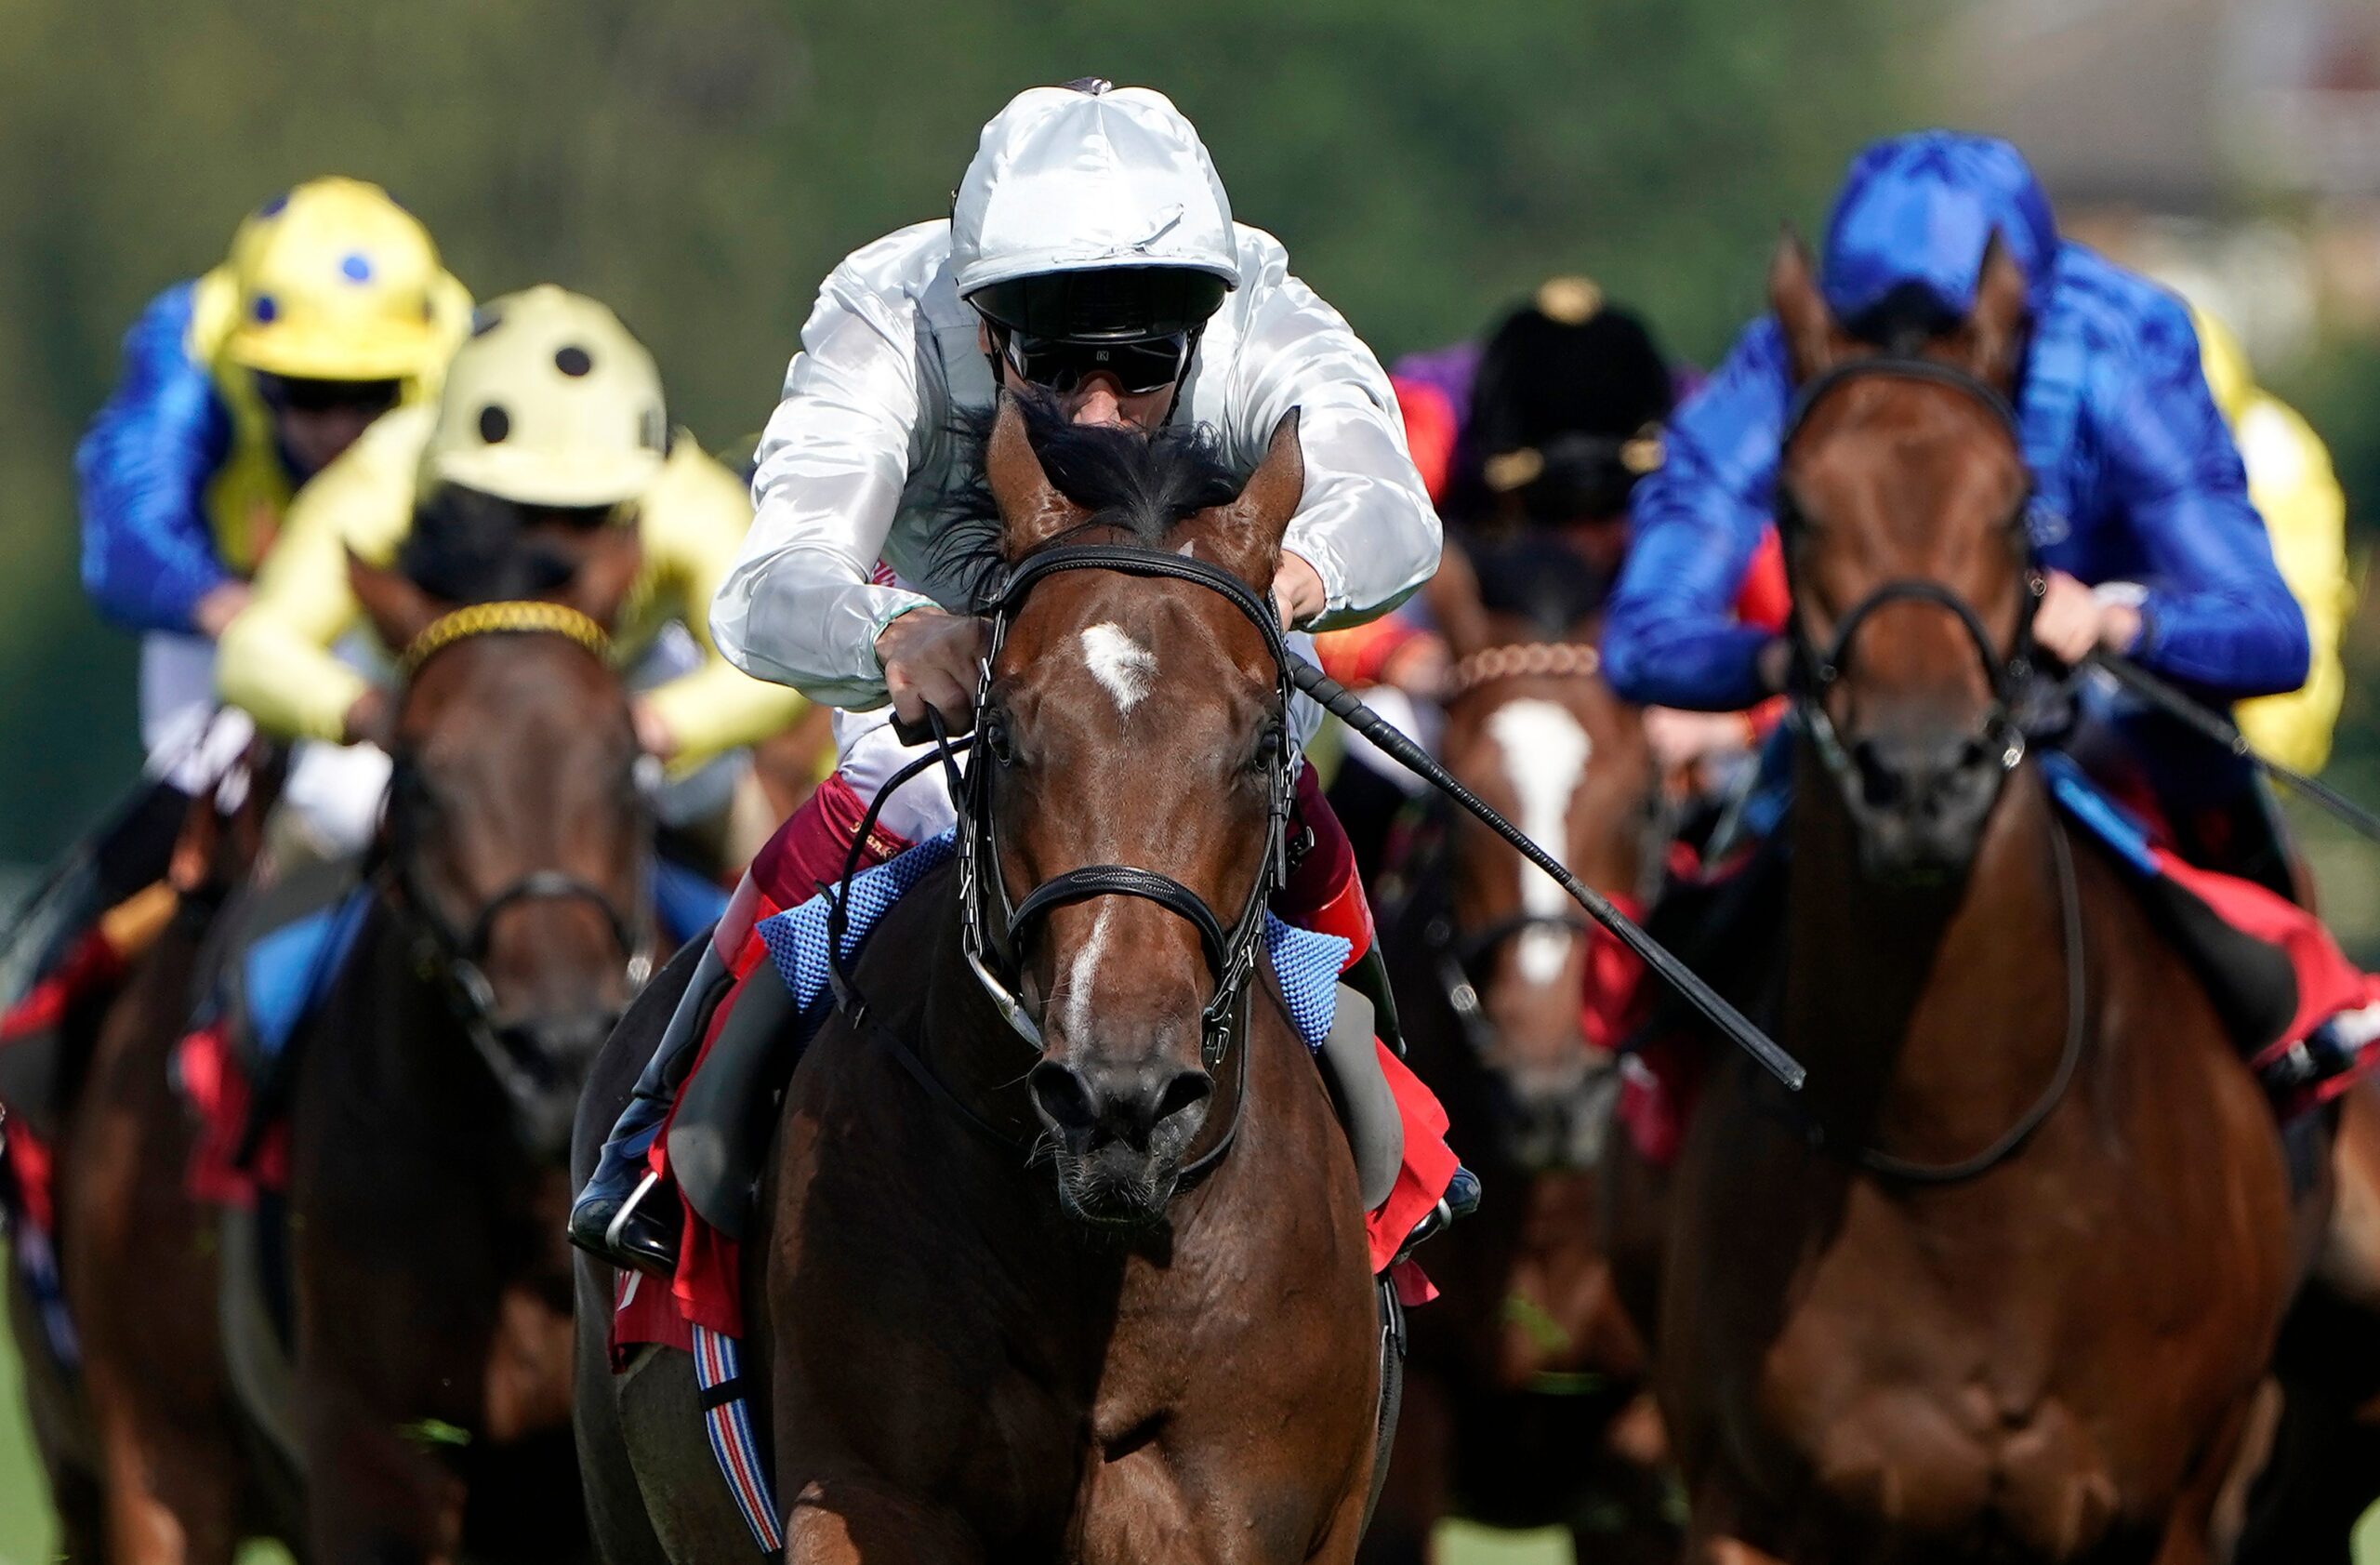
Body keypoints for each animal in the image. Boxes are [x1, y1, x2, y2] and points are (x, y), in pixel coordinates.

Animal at [1618, 234, 2304, 1562]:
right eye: (1795, 508)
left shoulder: (2165, 1513)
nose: (1920, 780)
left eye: (2014, 503)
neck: (1957, 1166)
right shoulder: (1744, 1506)